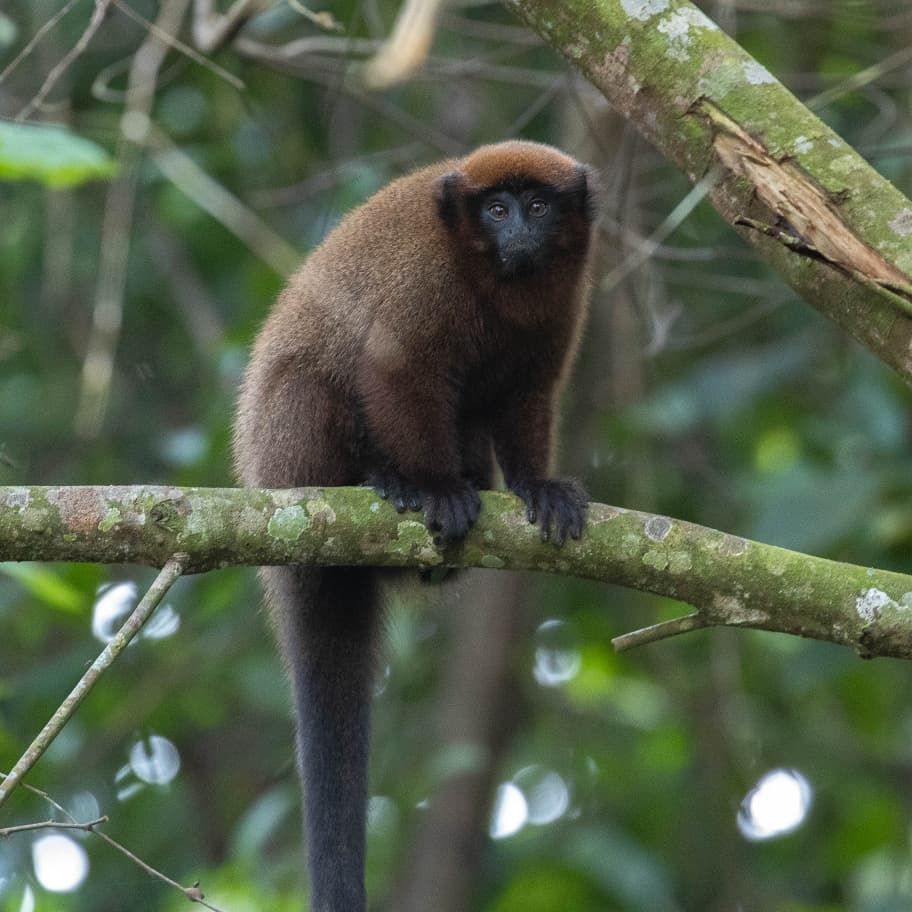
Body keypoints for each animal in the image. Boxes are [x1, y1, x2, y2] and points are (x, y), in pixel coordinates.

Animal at [232, 140, 597, 912]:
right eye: (497, 210)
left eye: (538, 206)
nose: (521, 230)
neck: (492, 276)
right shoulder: (425, 279)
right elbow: (396, 368)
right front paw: (430, 486)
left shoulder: (566, 293)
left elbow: (528, 393)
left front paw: (538, 487)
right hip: (289, 453)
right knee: (313, 383)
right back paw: (385, 482)